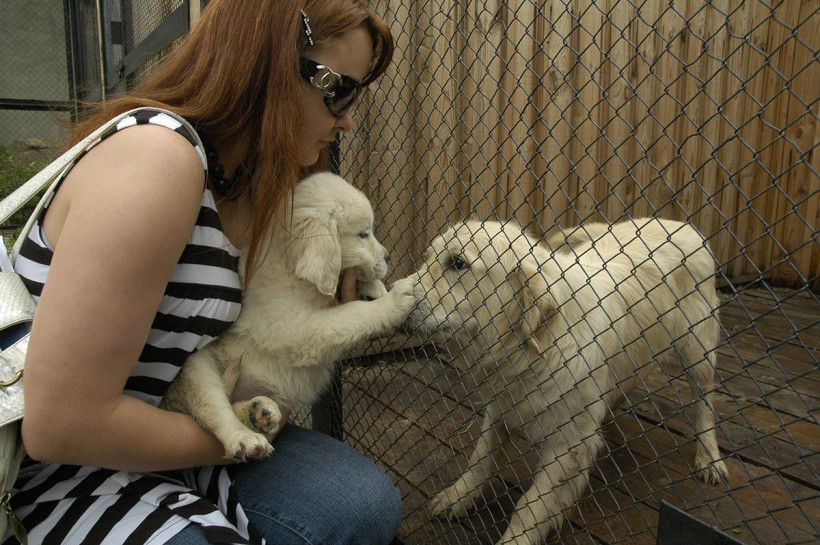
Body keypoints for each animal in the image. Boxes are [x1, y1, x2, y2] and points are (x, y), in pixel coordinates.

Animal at [162, 172, 415, 461]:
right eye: (363, 233)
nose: (388, 256)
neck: (290, 267)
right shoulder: (294, 330)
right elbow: (350, 314)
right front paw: (395, 299)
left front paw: (375, 289)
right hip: (196, 366)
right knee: (212, 407)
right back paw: (245, 437)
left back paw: (259, 411)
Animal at [403, 217, 729, 545]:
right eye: (428, 258)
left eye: (457, 263)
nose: (392, 293)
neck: (535, 348)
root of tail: (681, 224)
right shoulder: (501, 406)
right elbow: (480, 459)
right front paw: (457, 497)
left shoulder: (567, 443)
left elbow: (531, 504)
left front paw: (516, 539)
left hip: (697, 349)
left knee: (705, 400)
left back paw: (709, 457)